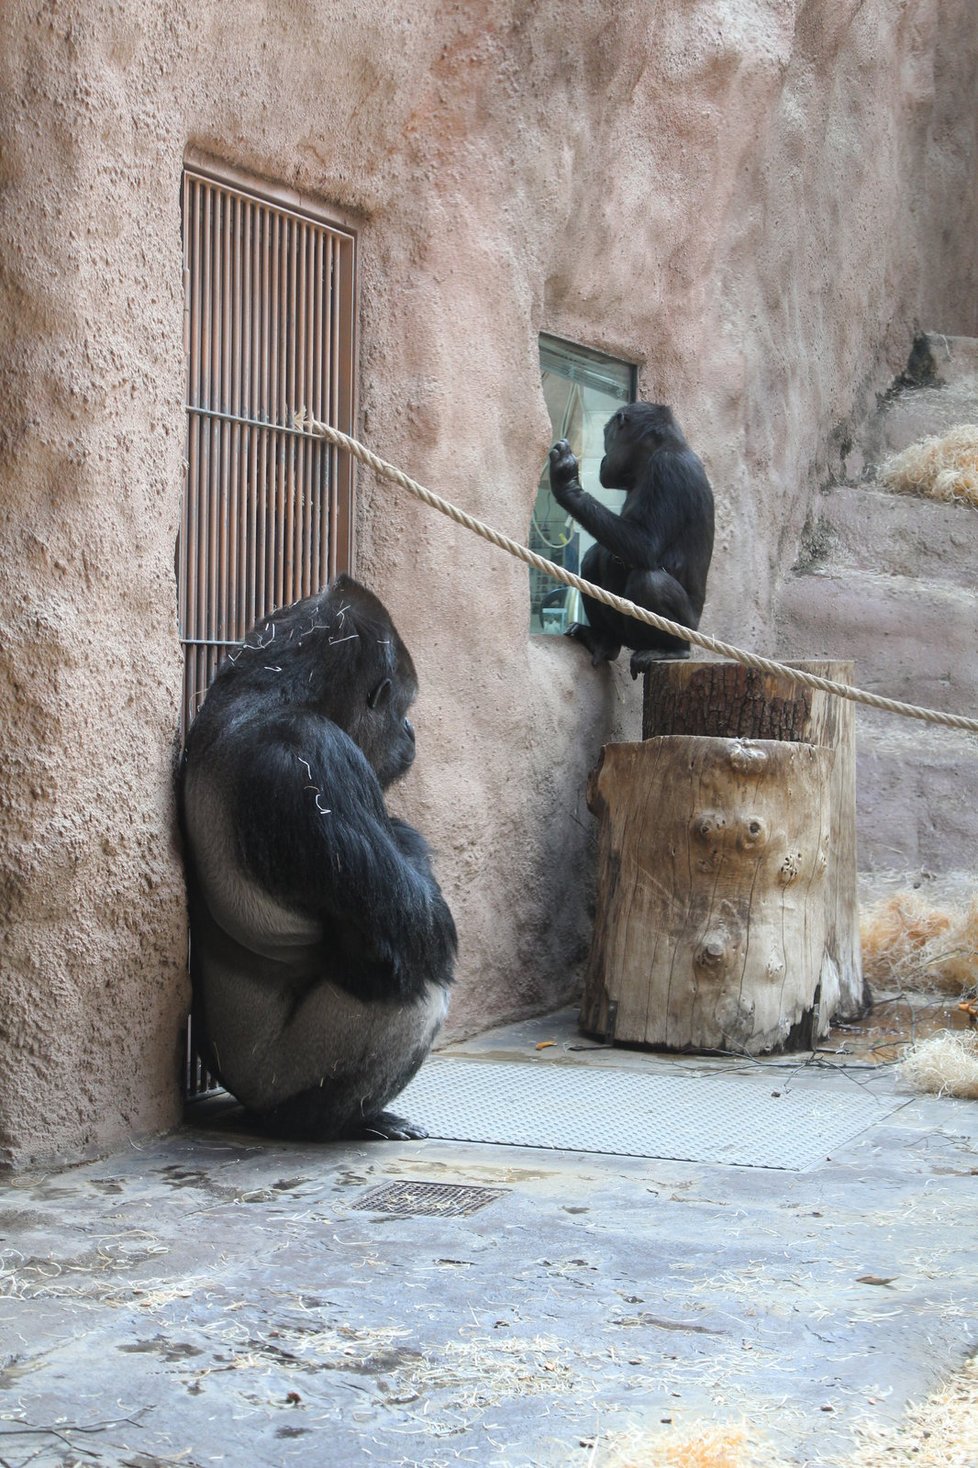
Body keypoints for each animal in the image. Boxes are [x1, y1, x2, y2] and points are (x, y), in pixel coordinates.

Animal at [176, 578, 455, 1139]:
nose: (412, 733)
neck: (270, 690)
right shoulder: (314, 757)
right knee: (415, 986)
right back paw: (332, 1122)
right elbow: (416, 931)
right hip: (276, 1083)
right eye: (401, 709)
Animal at [543, 402, 713, 675]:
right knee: (593, 559)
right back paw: (603, 640)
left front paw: (566, 482)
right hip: (626, 636)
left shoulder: (668, 468)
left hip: (687, 629)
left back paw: (671, 649)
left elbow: (645, 545)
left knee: (650, 582)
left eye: (606, 438)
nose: (603, 458)